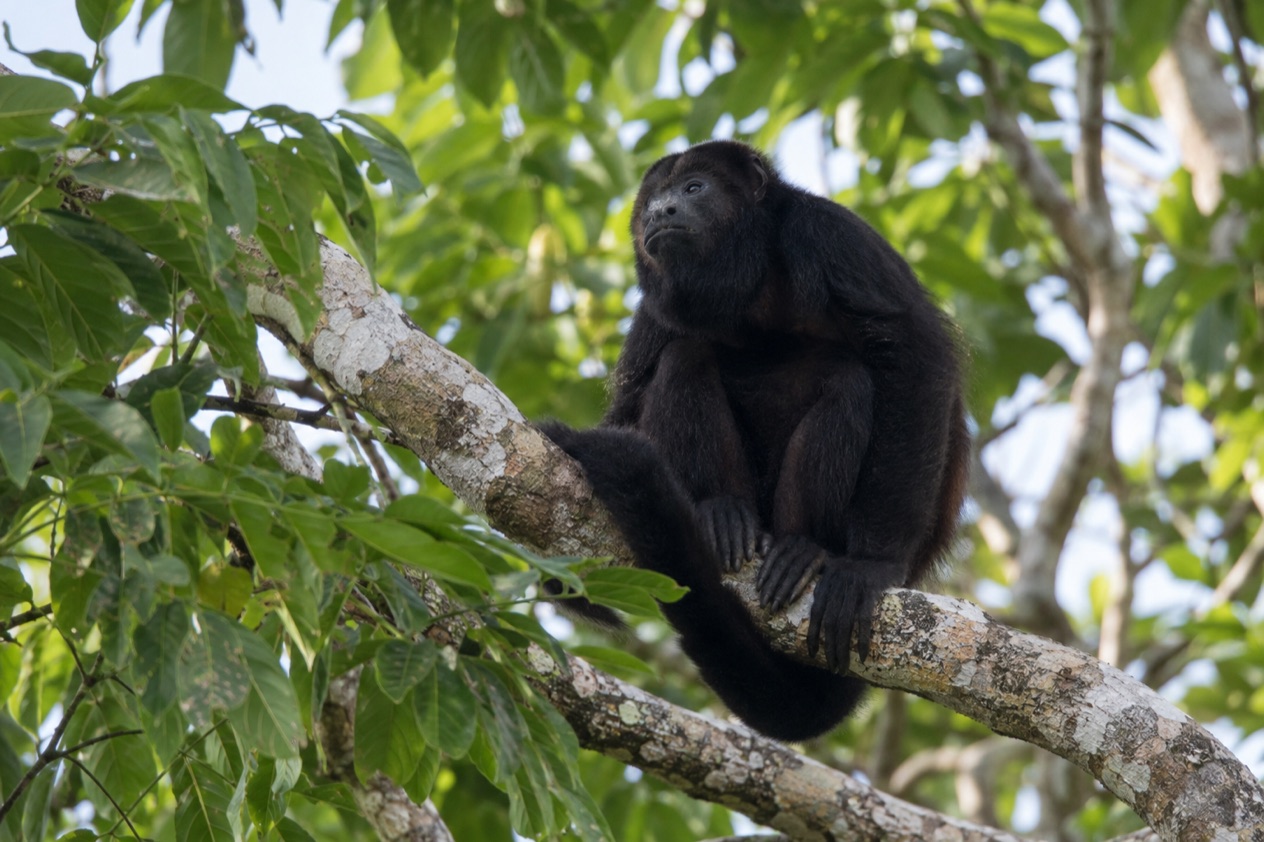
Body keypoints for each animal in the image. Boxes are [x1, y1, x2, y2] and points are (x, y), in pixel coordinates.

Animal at [540, 140, 969, 742]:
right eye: (654, 198)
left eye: (694, 188)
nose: (659, 213)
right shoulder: (654, 310)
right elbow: (624, 410)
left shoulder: (832, 236)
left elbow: (914, 358)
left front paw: (871, 563)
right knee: (685, 357)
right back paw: (722, 514)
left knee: (849, 382)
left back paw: (804, 548)